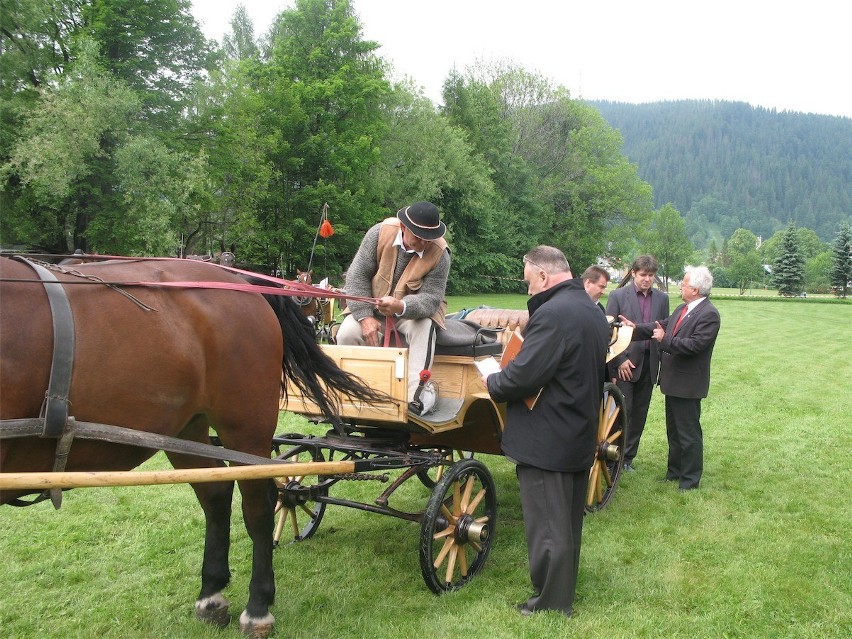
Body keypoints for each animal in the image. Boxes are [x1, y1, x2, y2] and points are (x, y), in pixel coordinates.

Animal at [0, 258, 384, 636]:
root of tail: (239, 279)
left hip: (246, 427)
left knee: (259, 506)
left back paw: (257, 608)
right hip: (187, 429)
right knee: (217, 495)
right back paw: (211, 594)